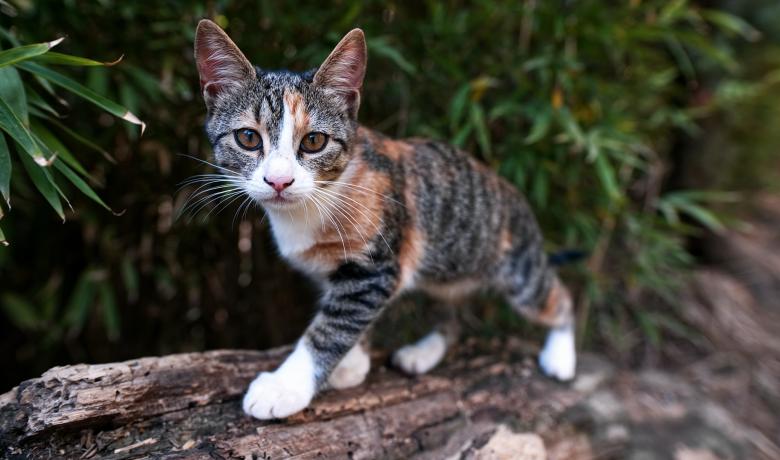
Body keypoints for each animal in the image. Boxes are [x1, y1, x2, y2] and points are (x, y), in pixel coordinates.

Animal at [192, 18, 576, 420]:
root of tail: (514, 191)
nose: (279, 181)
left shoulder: (376, 266)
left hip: (517, 268)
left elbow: (332, 326)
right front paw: (352, 363)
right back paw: (425, 351)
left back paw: (561, 356)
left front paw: (286, 386)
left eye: (313, 141)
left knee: (555, 296)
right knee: (452, 311)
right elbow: (344, 314)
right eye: (248, 138)